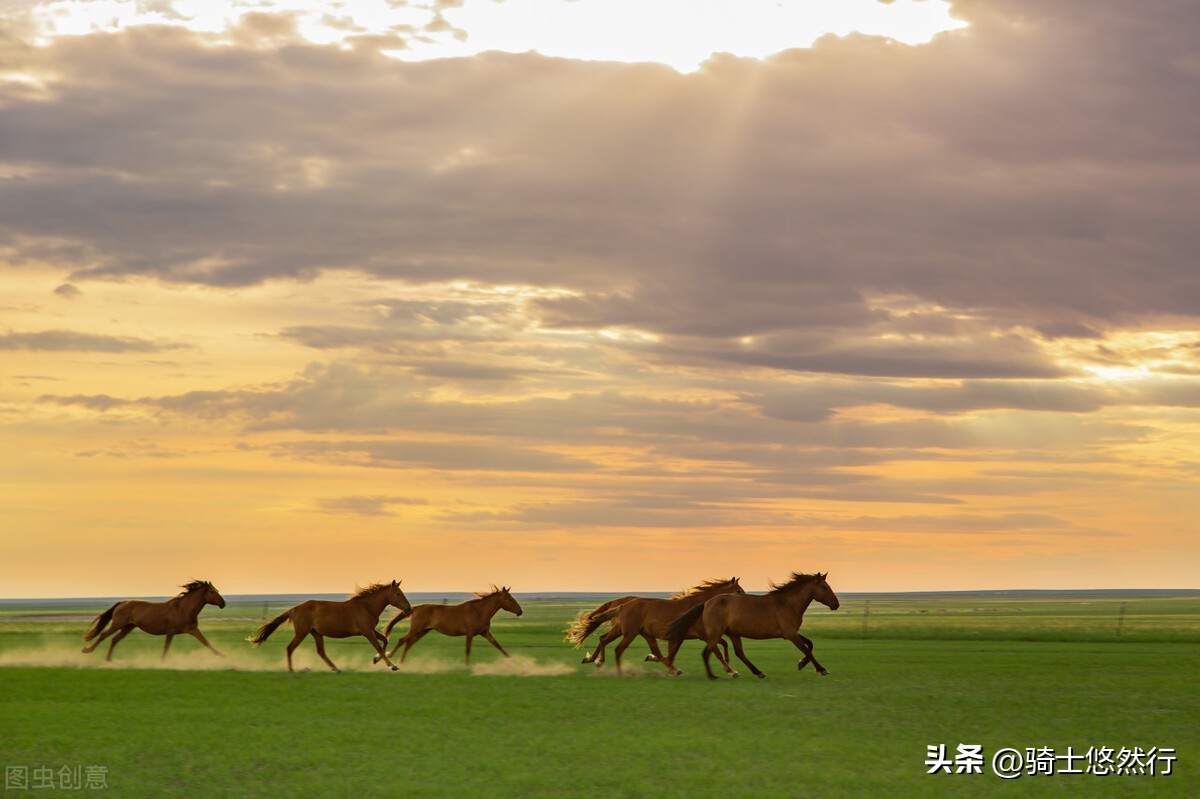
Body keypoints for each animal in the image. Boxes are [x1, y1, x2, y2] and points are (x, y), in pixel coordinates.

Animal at [84, 578, 226, 657]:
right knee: (104, 635)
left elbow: (206, 642)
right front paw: (162, 662)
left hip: (128, 627)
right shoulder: (171, 631)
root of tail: (122, 602)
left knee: (114, 639)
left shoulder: (192, 630)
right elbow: (166, 647)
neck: (183, 609)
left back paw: (108, 660)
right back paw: (87, 650)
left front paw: (221, 655)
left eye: (217, 590)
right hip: (118, 624)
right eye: (212, 591)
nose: (223, 603)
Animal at [247, 578, 408, 671]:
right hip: (302, 632)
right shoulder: (367, 632)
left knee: (321, 652)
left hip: (316, 633)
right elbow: (379, 646)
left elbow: (384, 641)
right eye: (398, 593)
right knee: (290, 648)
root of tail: (296, 608)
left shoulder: (370, 630)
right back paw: (291, 670)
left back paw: (336, 668)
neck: (366, 606)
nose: (408, 608)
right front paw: (392, 665)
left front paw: (376, 660)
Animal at [376, 583, 523, 662]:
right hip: (416, 629)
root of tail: (416, 608)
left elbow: (498, 645)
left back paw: (401, 662)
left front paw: (512, 660)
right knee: (402, 640)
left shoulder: (484, 632)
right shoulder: (470, 633)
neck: (479, 611)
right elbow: (468, 650)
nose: (520, 611)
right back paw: (384, 658)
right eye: (510, 599)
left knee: (408, 643)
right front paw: (467, 666)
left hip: (423, 631)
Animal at [561, 575, 739, 676]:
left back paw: (595, 660)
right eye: (738, 590)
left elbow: (722, 644)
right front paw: (731, 670)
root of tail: (621, 605)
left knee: (604, 639)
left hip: (632, 632)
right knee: (615, 647)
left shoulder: (691, 636)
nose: (743, 599)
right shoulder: (700, 635)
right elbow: (717, 649)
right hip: (629, 633)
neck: (696, 606)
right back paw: (615, 670)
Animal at [662, 568, 840, 676]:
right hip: (716, 633)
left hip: (732, 633)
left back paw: (757, 672)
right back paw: (716, 675)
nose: (836, 604)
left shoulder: (790, 633)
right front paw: (821, 669)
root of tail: (706, 603)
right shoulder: (790, 634)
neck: (787, 603)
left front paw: (801, 664)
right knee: (711, 652)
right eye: (824, 587)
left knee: (738, 653)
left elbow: (810, 645)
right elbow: (806, 649)